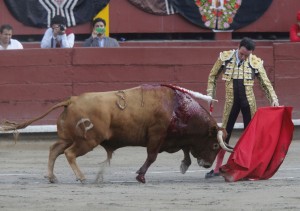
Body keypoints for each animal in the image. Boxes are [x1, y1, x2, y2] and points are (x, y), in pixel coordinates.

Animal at [0, 84, 232, 183]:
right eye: (214, 145)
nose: (207, 165)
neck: (177, 107)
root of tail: (72, 100)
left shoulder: (173, 138)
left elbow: (185, 149)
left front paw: (184, 165)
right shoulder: (157, 136)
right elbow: (151, 157)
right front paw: (140, 176)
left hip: (69, 137)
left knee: (54, 149)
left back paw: (51, 176)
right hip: (88, 141)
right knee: (69, 153)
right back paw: (81, 177)